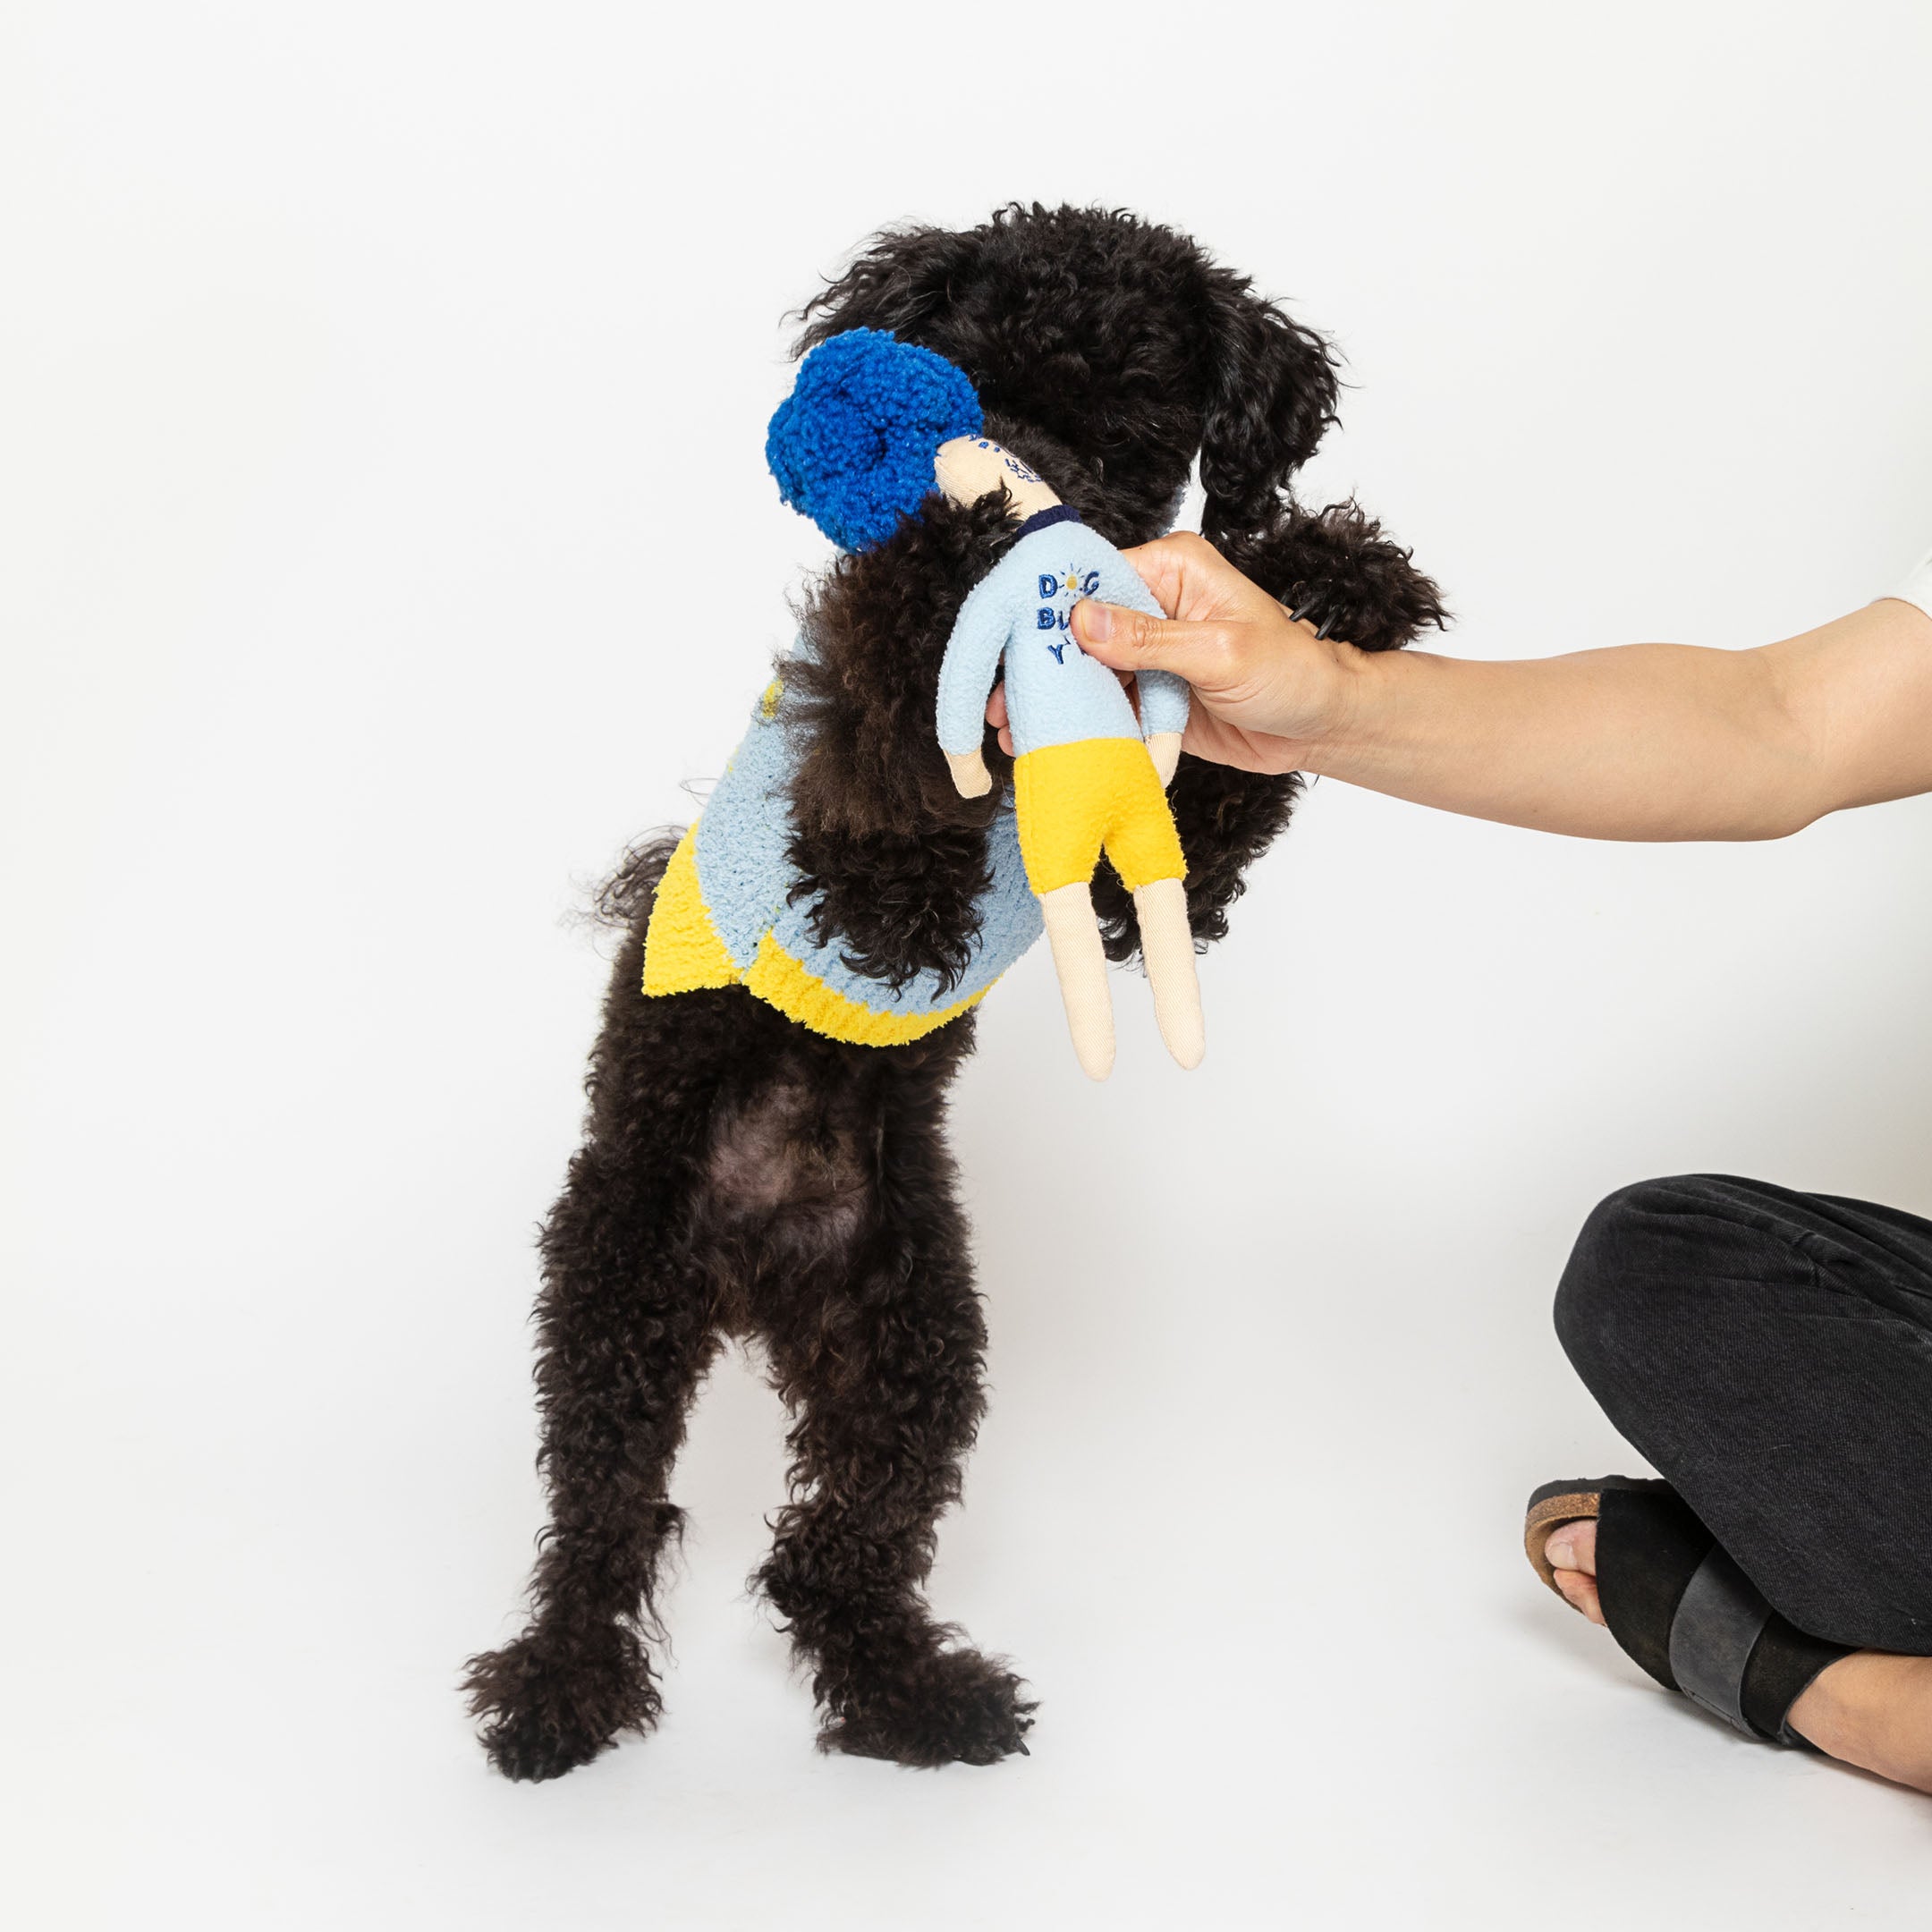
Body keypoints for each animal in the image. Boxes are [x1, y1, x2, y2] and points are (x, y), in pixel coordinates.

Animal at [460, 203, 1445, 1769]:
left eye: (1133, 422)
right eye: (973, 383)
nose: (1024, 486)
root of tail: (754, 1265)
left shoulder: (1129, 877)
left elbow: (1218, 810)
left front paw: (1340, 577)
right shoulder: (859, 735)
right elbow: (887, 761)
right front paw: (908, 884)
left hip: (910, 1339)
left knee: (831, 1556)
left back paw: (913, 1697)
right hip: (618, 1294)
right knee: (604, 1525)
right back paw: (560, 1687)